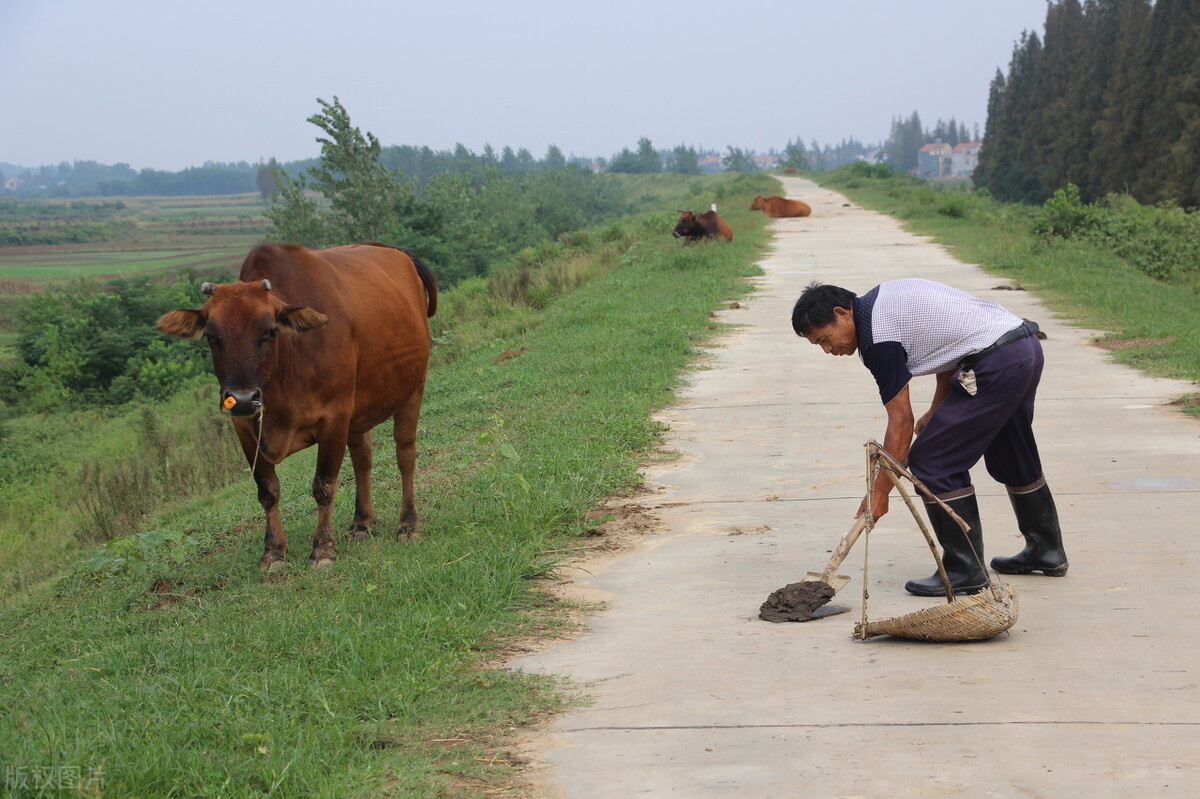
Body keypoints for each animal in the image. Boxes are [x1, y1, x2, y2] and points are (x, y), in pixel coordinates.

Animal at [157, 241, 439, 566]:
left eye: (269, 331)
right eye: (213, 337)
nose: (242, 398)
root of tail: (396, 251)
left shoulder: (333, 418)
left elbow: (323, 485)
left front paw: (323, 547)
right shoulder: (244, 428)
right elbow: (267, 490)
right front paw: (273, 550)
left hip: (413, 388)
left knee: (405, 453)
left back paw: (408, 523)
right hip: (358, 412)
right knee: (363, 458)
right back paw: (361, 522)